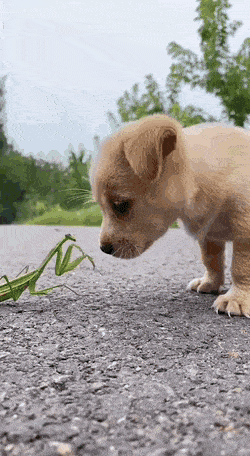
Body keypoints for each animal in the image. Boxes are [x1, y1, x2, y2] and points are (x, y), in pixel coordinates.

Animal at [90, 114, 250, 318]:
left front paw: (237, 299)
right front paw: (210, 283)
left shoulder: (245, 231)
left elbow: (241, 267)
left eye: (120, 205)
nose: (103, 249)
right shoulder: (209, 234)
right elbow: (211, 260)